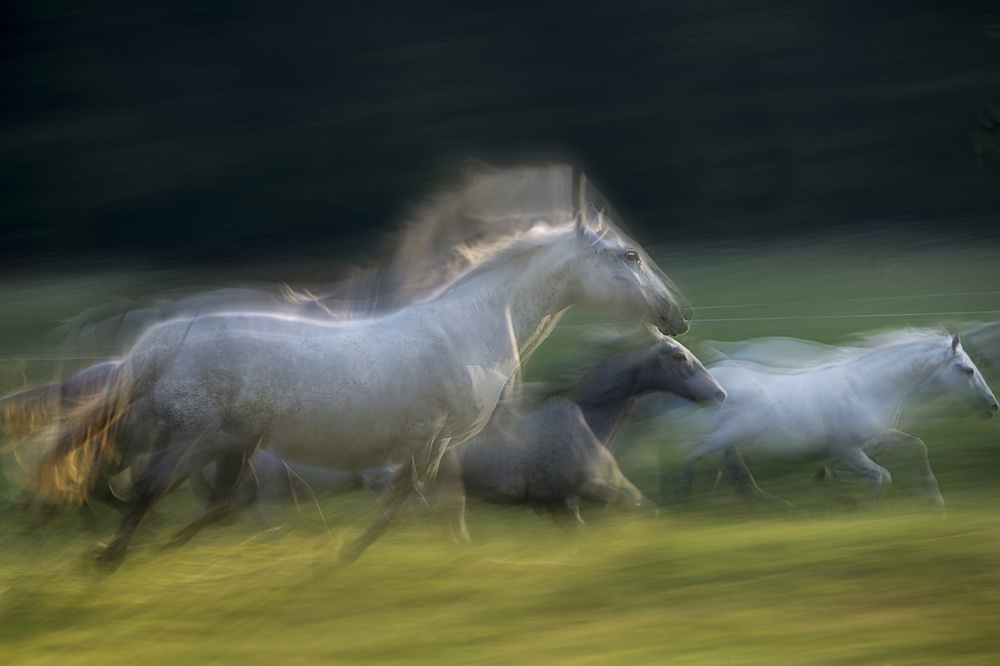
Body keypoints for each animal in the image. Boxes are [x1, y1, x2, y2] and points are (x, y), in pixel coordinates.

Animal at [676, 328, 996, 508]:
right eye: (968, 370)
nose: (993, 406)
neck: (866, 389)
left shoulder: (879, 439)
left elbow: (918, 447)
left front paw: (934, 500)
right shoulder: (846, 452)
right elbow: (884, 477)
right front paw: (852, 502)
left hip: (729, 443)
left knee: (735, 474)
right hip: (723, 438)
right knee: (695, 454)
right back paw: (681, 501)